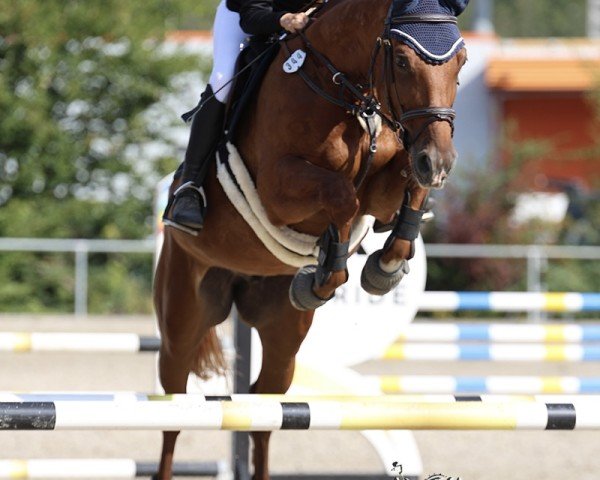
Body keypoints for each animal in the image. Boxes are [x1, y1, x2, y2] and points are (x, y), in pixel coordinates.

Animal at [154, 0, 468, 478]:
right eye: (400, 60)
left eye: (462, 61)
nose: (440, 161)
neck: (347, 95)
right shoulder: (278, 188)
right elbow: (340, 195)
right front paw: (323, 274)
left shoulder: (390, 176)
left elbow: (405, 192)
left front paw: (382, 267)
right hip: (182, 317)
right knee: (173, 409)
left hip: (282, 329)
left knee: (264, 406)